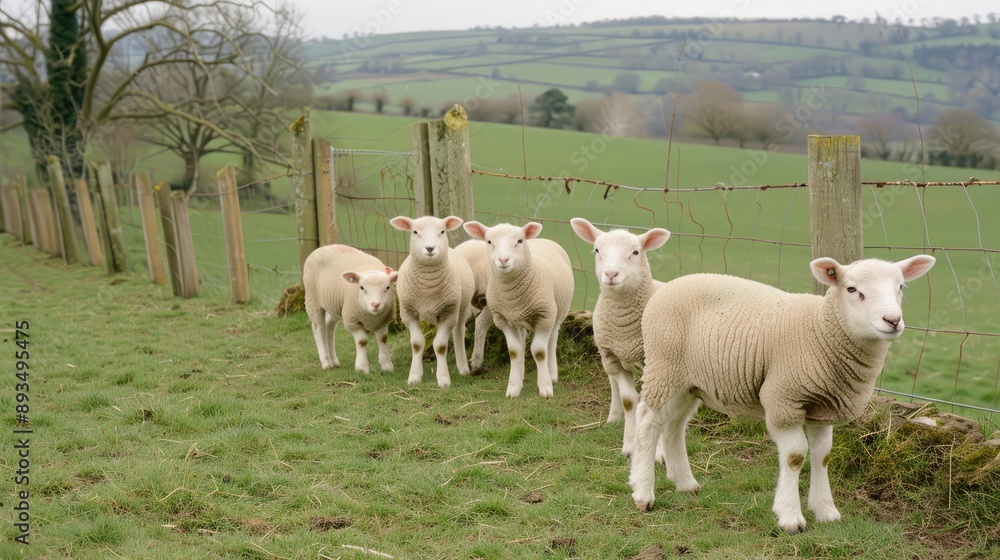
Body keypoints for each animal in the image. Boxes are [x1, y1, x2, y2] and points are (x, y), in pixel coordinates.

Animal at [303, 244, 399, 373]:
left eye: (387, 287)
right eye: (362, 287)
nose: (375, 305)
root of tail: (324, 247)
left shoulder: (383, 321)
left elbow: (383, 339)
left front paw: (387, 366)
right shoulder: (352, 320)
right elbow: (362, 341)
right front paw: (361, 368)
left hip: (335, 304)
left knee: (329, 327)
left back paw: (334, 361)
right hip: (313, 300)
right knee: (318, 328)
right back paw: (326, 363)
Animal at [390, 215, 475, 388]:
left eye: (442, 231)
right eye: (415, 232)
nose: (430, 248)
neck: (427, 292)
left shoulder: (448, 312)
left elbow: (440, 346)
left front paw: (443, 379)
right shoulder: (408, 313)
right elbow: (417, 344)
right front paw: (414, 377)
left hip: (461, 307)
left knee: (458, 331)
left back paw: (463, 367)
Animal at [462, 221, 574, 398]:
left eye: (519, 241)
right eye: (489, 242)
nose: (503, 259)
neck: (513, 296)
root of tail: (543, 239)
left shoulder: (544, 317)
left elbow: (539, 351)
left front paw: (545, 387)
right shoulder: (503, 319)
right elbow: (514, 351)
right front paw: (514, 388)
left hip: (558, 312)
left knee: (552, 340)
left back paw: (552, 374)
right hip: (518, 319)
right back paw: (520, 376)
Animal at [570, 218, 671, 457]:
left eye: (635, 252)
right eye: (597, 250)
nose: (611, 274)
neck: (624, 329)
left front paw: (659, 452)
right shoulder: (612, 356)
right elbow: (629, 401)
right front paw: (630, 445)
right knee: (614, 385)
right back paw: (614, 416)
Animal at [629, 255, 936, 533]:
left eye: (900, 287)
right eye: (852, 289)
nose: (893, 320)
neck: (822, 329)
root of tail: (666, 287)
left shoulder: (823, 408)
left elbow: (823, 455)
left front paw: (826, 511)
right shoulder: (783, 400)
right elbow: (795, 456)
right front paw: (790, 517)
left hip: (690, 383)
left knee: (674, 426)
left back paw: (685, 483)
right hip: (664, 367)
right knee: (647, 421)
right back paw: (643, 492)